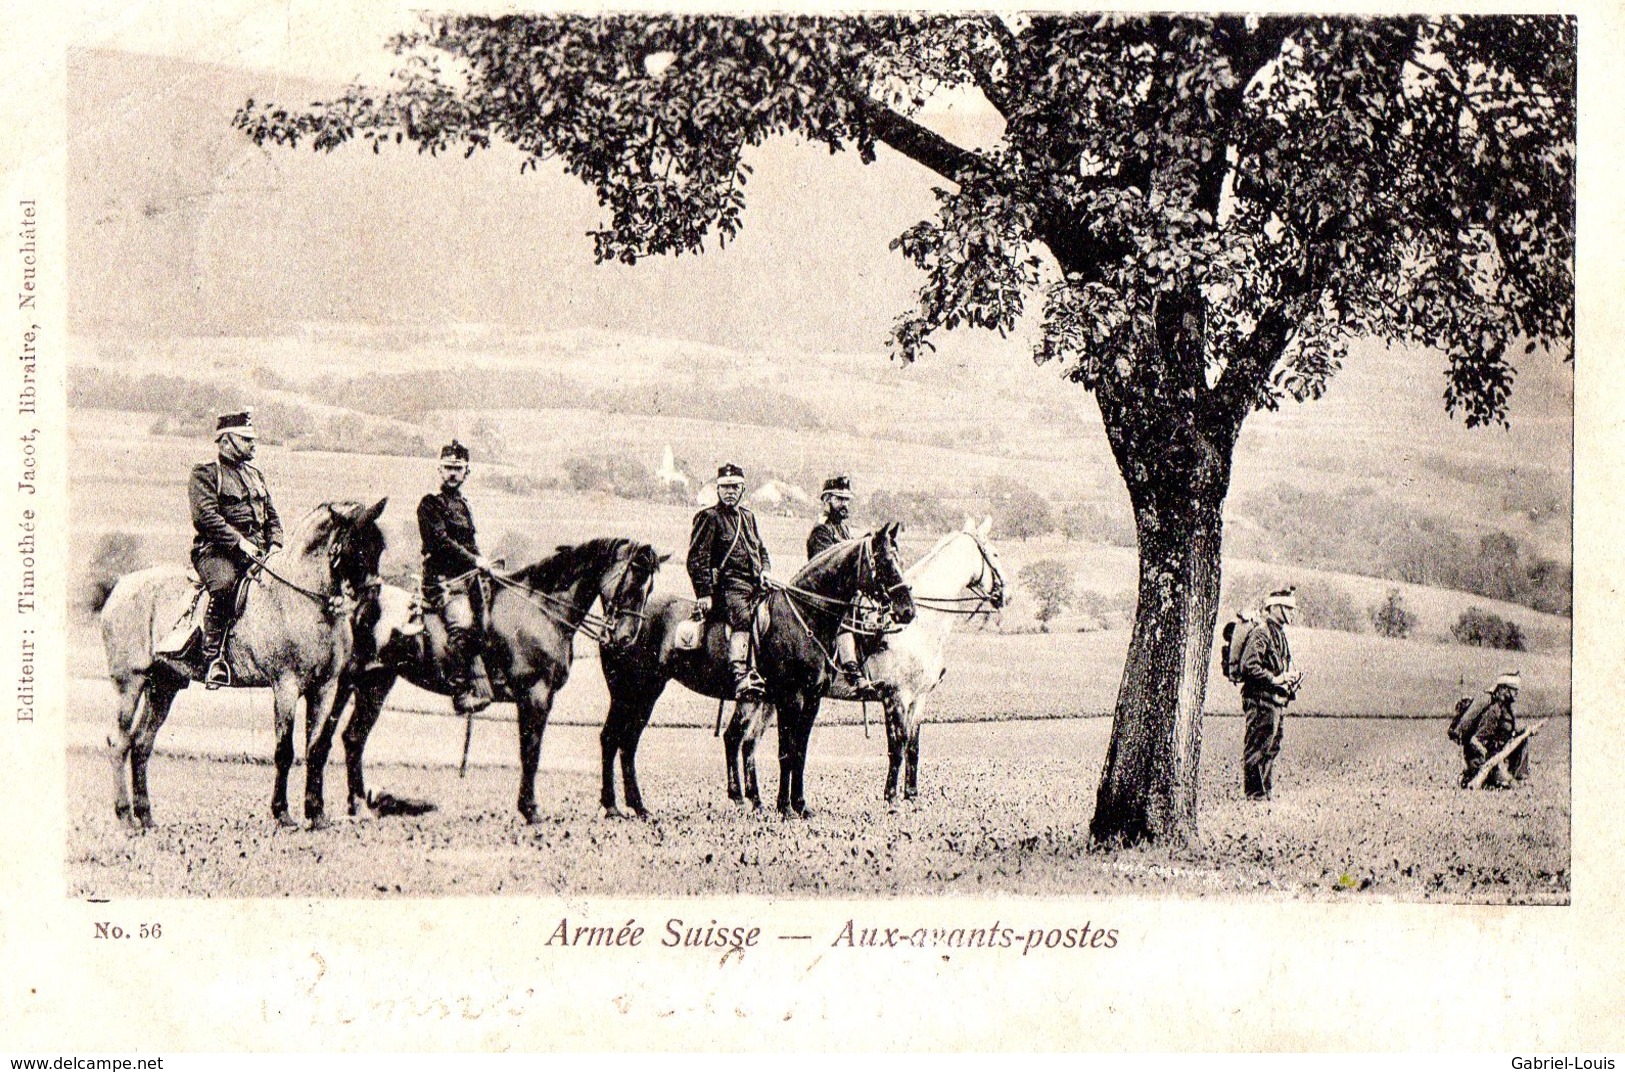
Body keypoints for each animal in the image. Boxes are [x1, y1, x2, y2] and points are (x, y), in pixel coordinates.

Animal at [102, 500, 393, 828]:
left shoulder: (325, 688)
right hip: (131, 682)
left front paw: (316, 814)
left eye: (379, 547)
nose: (373, 608)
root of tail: (121, 585)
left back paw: (146, 817)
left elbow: (317, 749)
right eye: (355, 544)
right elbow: (284, 750)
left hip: (164, 686)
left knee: (142, 744)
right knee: (119, 742)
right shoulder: (285, 686)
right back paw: (126, 818)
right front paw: (282, 813)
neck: (303, 599)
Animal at [339, 539, 669, 825]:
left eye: (650, 587)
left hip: (374, 682)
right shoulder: (535, 695)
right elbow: (531, 752)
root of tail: (361, 598)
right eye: (633, 581)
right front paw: (531, 810)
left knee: (352, 737)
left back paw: (358, 805)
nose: (626, 639)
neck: (540, 610)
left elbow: (530, 751)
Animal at [604, 523, 923, 815]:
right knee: (614, 738)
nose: (908, 611)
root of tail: (616, 618)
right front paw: (785, 807)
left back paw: (643, 806)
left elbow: (800, 752)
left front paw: (800, 805)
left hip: (652, 694)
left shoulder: (812, 700)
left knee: (632, 742)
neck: (804, 616)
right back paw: (615, 806)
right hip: (632, 692)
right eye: (884, 561)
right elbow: (786, 751)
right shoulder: (790, 698)